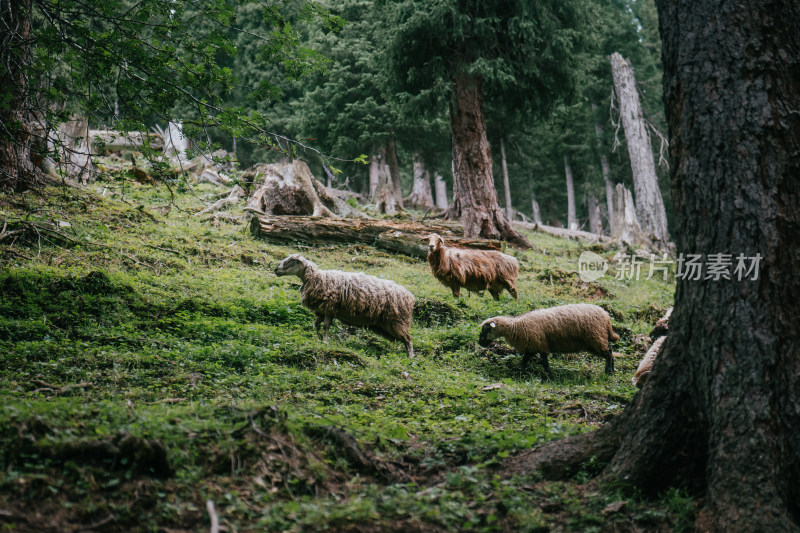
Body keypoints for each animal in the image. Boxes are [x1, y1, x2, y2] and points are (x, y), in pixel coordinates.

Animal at [274, 254, 416, 358]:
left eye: (291, 260)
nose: (276, 269)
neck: (317, 278)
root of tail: (409, 296)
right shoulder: (321, 310)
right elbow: (316, 324)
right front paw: (318, 337)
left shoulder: (329, 309)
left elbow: (326, 326)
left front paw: (325, 340)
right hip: (388, 324)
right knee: (405, 339)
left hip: (398, 321)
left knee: (408, 339)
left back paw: (410, 357)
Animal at [482, 302, 620, 376]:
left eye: (485, 329)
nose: (480, 343)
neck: (515, 326)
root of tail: (606, 316)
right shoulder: (532, 346)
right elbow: (525, 361)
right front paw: (521, 372)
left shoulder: (540, 345)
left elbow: (544, 362)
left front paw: (550, 375)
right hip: (593, 343)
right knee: (610, 352)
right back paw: (611, 371)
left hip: (596, 338)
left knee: (608, 353)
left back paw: (608, 370)